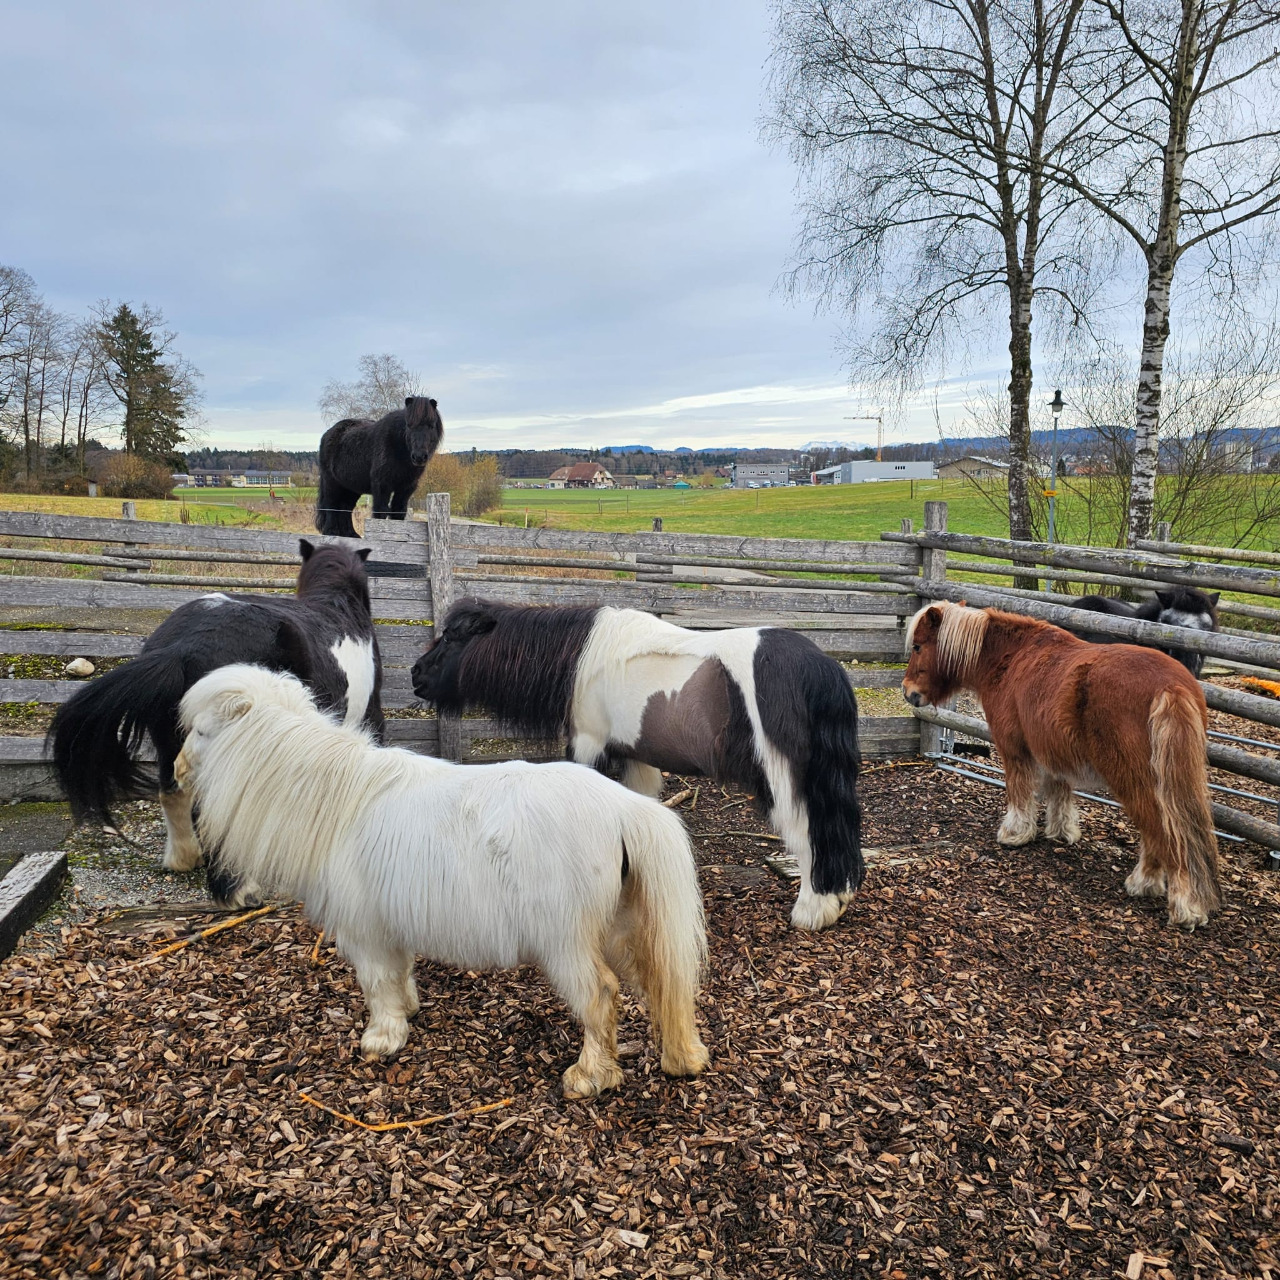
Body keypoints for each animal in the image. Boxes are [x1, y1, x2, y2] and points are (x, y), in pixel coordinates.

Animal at [174, 664, 710, 1099]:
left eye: (200, 730)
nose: (176, 771)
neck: (340, 798)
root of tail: (623, 808)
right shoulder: (390, 921)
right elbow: (400, 972)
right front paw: (408, 1012)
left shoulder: (365, 931)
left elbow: (376, 983)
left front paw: (382, 1039)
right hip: (619, 928)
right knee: (658, 981)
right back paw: (680, 1057)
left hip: (567, 944)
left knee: (600, 996)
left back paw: (590, 1077)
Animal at [316, 396, 444, 537]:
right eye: (409, 425)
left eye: (431, 425)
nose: (419, 456)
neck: (397, 447)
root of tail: (327, 434)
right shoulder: (382, 485)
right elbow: (381, 511)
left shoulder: (406, 488)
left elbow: (398, 511)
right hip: (331, 482)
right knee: (331, 505)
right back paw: (330, 532)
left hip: (350, 487)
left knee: (345, 507)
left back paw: (350, 534)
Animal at [410, 598, 865, 931]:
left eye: (453, 636)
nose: (415, 674)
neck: (584, 658)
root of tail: (820, 666)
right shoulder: (632, 759)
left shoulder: (590, 746)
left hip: (781, 777)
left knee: (808, 833)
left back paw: (813, 911)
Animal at [903, 601, 1222, 928]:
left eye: (918, 646)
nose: (908, 691)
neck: (1010, 658)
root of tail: (1172, 686)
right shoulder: (1051, 750)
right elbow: (1059, 792)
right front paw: (1061, 831)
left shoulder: (1014, 751)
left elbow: (1019, 793)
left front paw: (1015, 834)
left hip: (1133, 779)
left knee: (1164, 831)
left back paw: (1160, 892)